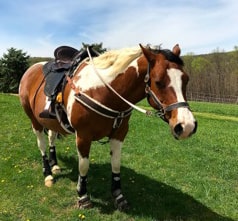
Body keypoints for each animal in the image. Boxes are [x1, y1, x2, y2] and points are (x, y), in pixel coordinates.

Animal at [18, 43, 197, 211]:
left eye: (187, 79)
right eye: (158, 82)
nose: (187, 125)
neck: (102, 91)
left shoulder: (119, 134)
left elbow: (116, 164)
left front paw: (118, 196)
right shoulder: (83, 136)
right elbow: (84, 166)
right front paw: (83, 196)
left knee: (51, 138)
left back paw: (54, 165)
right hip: (34, 120)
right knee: (41, 144)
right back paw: (47, 173)